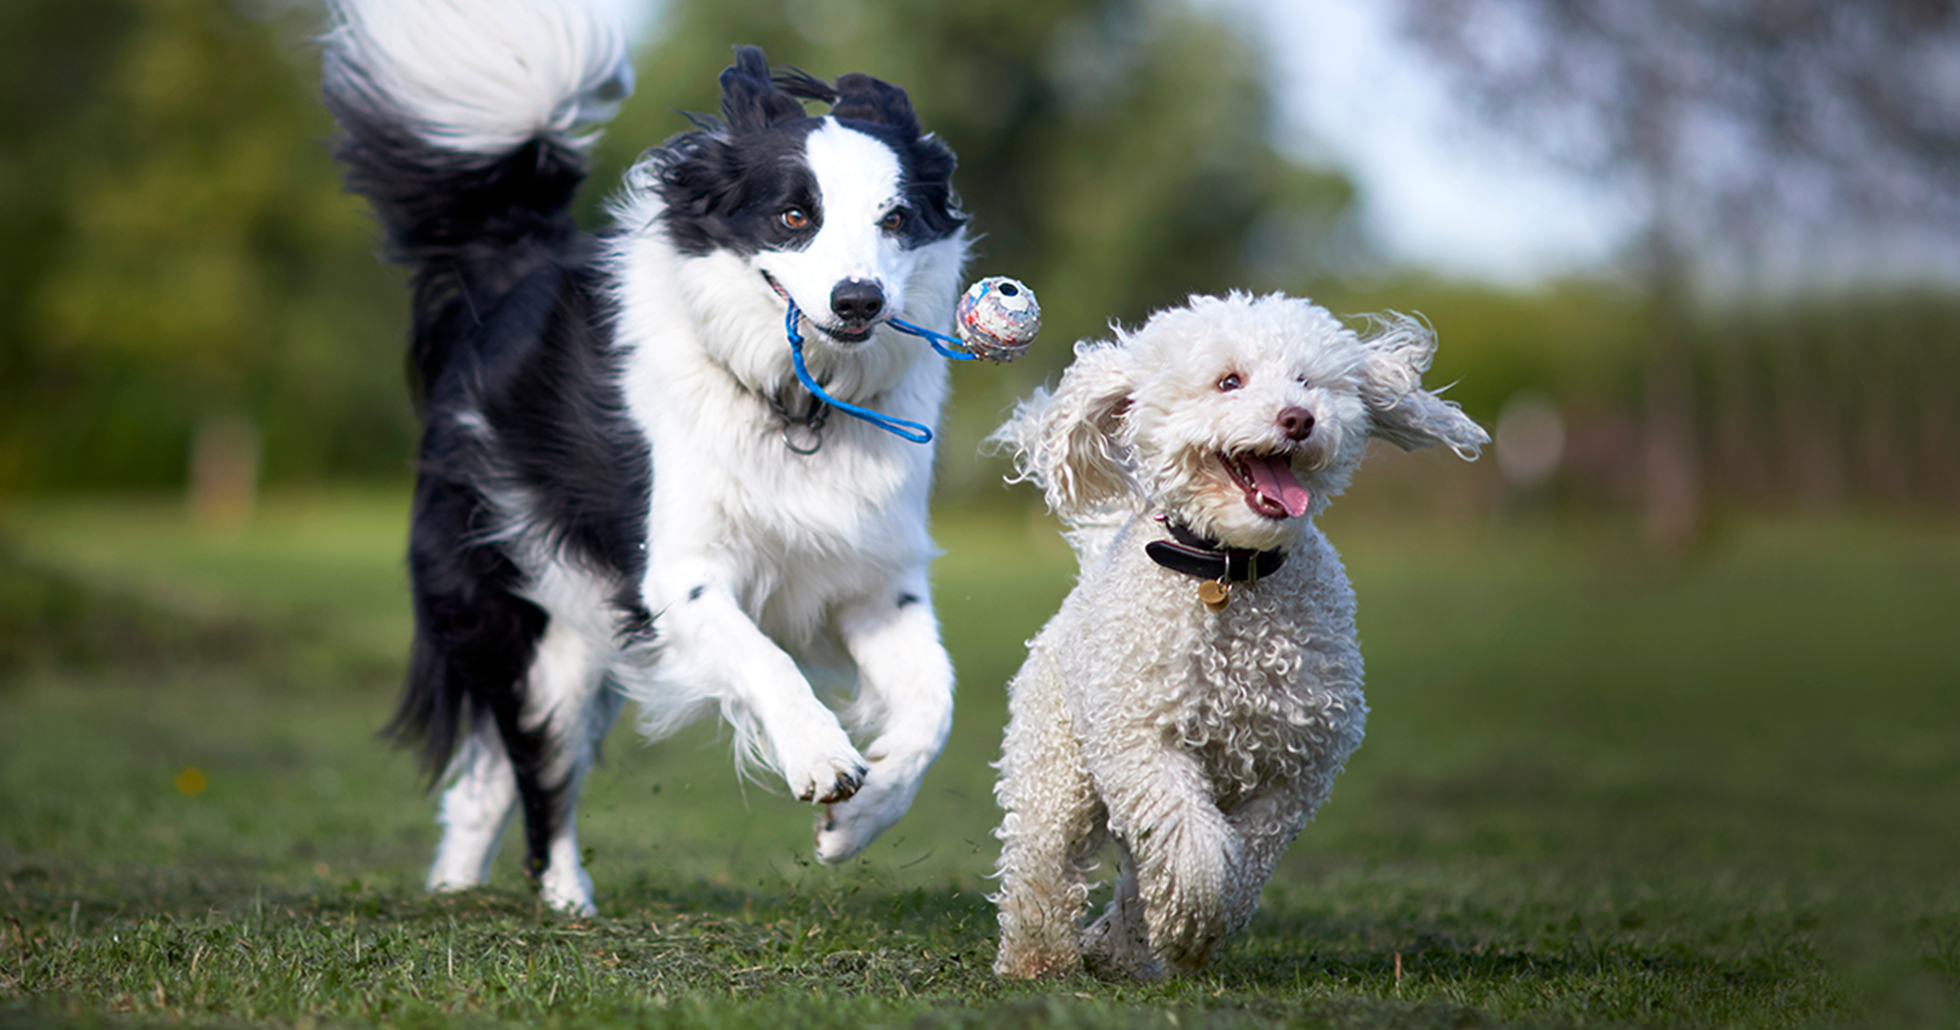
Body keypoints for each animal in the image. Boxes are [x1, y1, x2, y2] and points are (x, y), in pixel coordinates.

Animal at [325, 2, 976, 920]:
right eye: (793, 218)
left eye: (895, 219)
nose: (860, 301)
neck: (795, 404)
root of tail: (513, 269)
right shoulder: (675, 571)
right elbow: (764, 657)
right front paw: (820, 754)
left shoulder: (874, 578)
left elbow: (934, 703)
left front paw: (861, 818)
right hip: (539, 622)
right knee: (538, 769)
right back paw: (566, 898)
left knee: (489, 776)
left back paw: (457, 888)